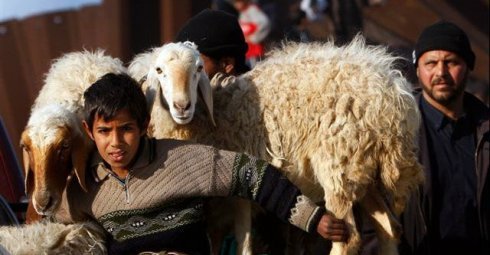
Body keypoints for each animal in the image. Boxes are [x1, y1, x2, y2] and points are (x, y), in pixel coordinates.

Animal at [131, 36, 424, 255]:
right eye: (159, 71)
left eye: (198, 69)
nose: (182, 106)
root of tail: (394, 97)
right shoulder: (221, 208)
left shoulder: (238, 189)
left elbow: (243, 245)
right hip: (363, 171)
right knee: (390, 229)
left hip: (338, 165)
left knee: (348, 240)